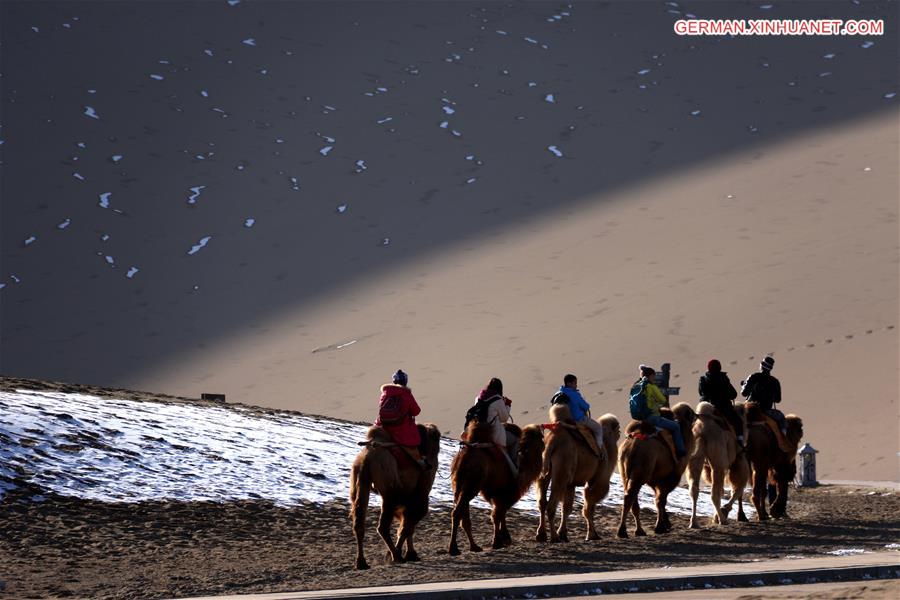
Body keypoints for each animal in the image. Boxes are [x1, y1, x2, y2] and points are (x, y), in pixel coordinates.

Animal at [348, 424, 440, 568]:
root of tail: (367, 458)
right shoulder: (421, 492)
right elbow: (408, 525)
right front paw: (403, 554)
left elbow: (407, 524)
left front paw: (410, 554)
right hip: (389, 491)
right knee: (383, 527)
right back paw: (396, 556)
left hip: (360, 480)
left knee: (359, 522)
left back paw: (361, 563)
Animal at [448, 420, 544, 556]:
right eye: (539, 438)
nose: (544, 445)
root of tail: (464, 457)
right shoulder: (507, 492)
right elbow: (498, 515)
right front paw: (498, 542)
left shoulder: (496, 494)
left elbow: (498, 514)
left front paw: (504, 539)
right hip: (471, 486)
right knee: (458, 513)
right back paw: (454, 549)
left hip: (458, 486)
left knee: (463, 515)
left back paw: (474, 546)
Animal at [536, 404, 620, 544]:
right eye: (618, 429)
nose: (621, 433)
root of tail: (551, 442)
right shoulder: (596, 480)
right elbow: (589, 508)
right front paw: (592, 535)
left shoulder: (571, 484)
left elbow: (567, 508)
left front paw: (564, 534)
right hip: (562, 472)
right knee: (551, 505)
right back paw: (554, 538)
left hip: (545, 472)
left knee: (542, 502)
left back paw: (541, 535)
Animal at [620, 404, 696, 540]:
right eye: (691, 413)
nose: (697, 415)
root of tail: (632, 447)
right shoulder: (670, 478)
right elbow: (661, 500)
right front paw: (660, 527)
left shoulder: (655, 478)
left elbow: (659, 498)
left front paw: (666, 524)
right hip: (641, 472)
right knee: (631, 496)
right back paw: (623, 531)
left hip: (626, 473)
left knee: (631, 498)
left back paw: (638, 531)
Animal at [688, 400, 752, 528]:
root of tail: (703, 429)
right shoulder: (739, 460)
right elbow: (738, 489)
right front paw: (723, 511)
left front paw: (716, 516)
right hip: (719, 464)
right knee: (715, 494)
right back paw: (723, 520)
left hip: (695, 459)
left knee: (694, 490)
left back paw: (694, 522)